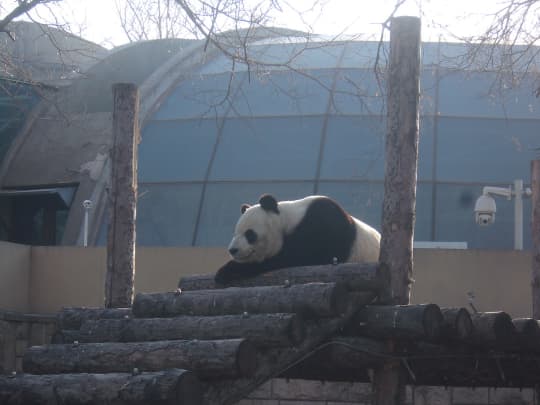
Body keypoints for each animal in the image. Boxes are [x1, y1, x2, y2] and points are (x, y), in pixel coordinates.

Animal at [213, 193, 382, 282]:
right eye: (235, 233)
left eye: (250, 234)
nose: (233, 250)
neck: (288, 220)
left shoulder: (323, 227)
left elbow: (295, 258)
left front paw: (228, 270)